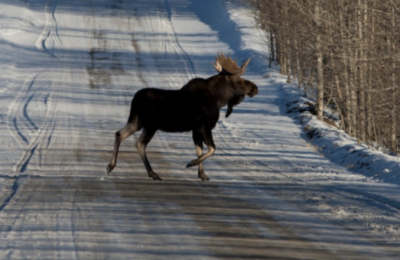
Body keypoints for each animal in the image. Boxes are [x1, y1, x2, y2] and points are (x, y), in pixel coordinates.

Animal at [104, 52, 258, 181]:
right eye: (238, 79)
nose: (255, 88)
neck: (219, 100)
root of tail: (135, 100)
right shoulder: (203, 126)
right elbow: (212, 149)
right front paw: (191, 163)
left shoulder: (195, 130)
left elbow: (200, 150)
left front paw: (202, 174)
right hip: (150, 125)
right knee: (140, 143)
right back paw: (152, 173)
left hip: (136, 121)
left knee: (119, 134)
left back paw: (110, 166)